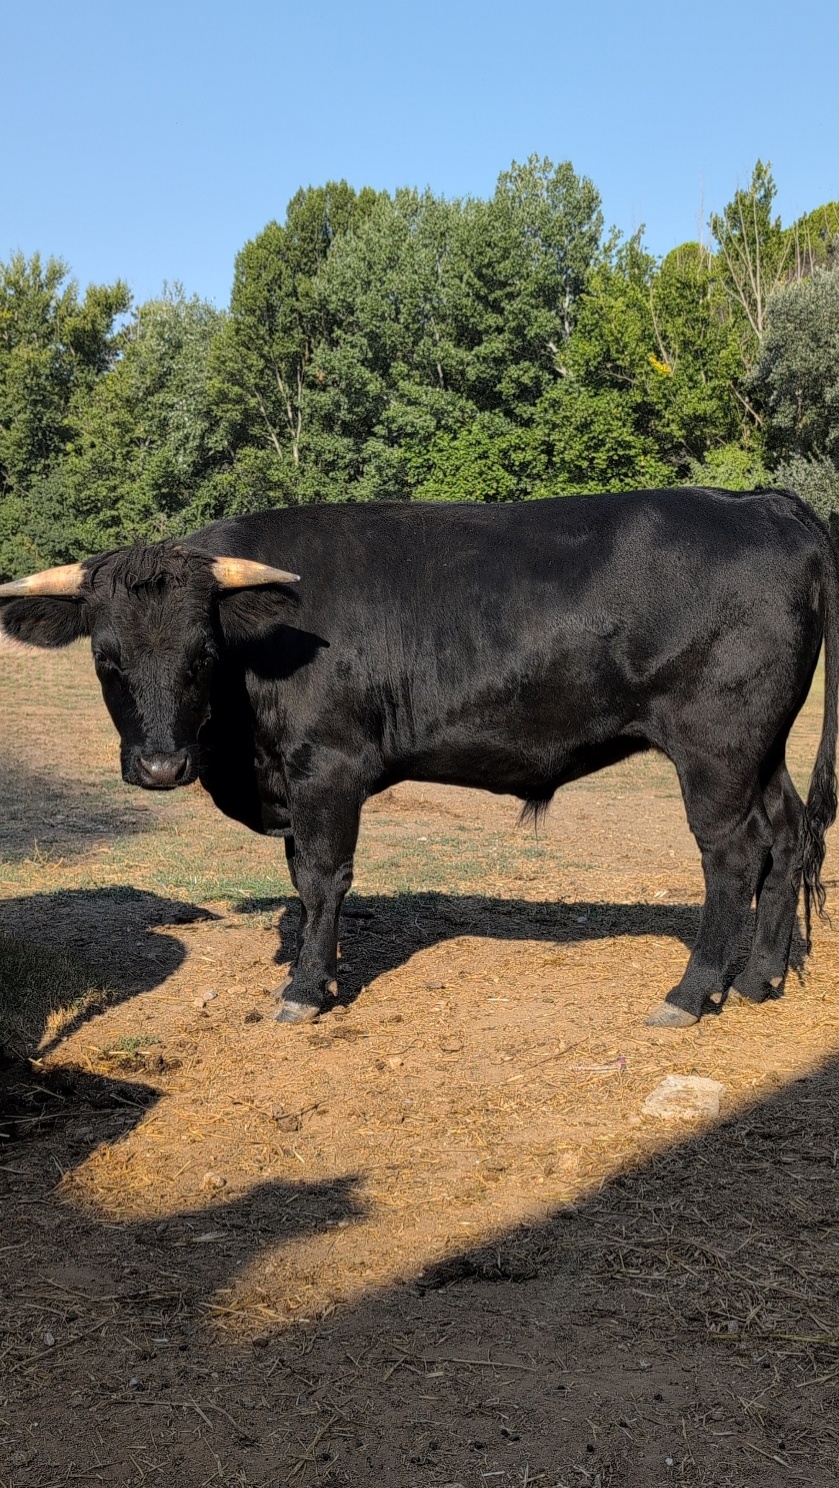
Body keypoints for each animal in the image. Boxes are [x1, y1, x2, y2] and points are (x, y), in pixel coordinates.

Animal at [1, 488, 836, 1029]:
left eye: (202, 654)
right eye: (105, 660)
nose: (160, 768)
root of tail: (761, 502)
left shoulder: (328, 766)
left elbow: (321, 877)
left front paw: (306, 988)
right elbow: (300, 879)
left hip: (715, 746)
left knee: (731, 856)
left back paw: (691, 994)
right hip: (761, 748)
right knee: (785, 837)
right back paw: (759, 977)